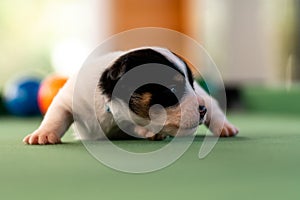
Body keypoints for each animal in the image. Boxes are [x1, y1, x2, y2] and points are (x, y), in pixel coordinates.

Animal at [22, 46, 239, 145]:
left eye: (191, 84)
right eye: (172, 89)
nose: (201, 110)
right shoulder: (69, 96)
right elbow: (57, 114)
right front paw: (43, 134)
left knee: (213, 104)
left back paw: (224, 127)